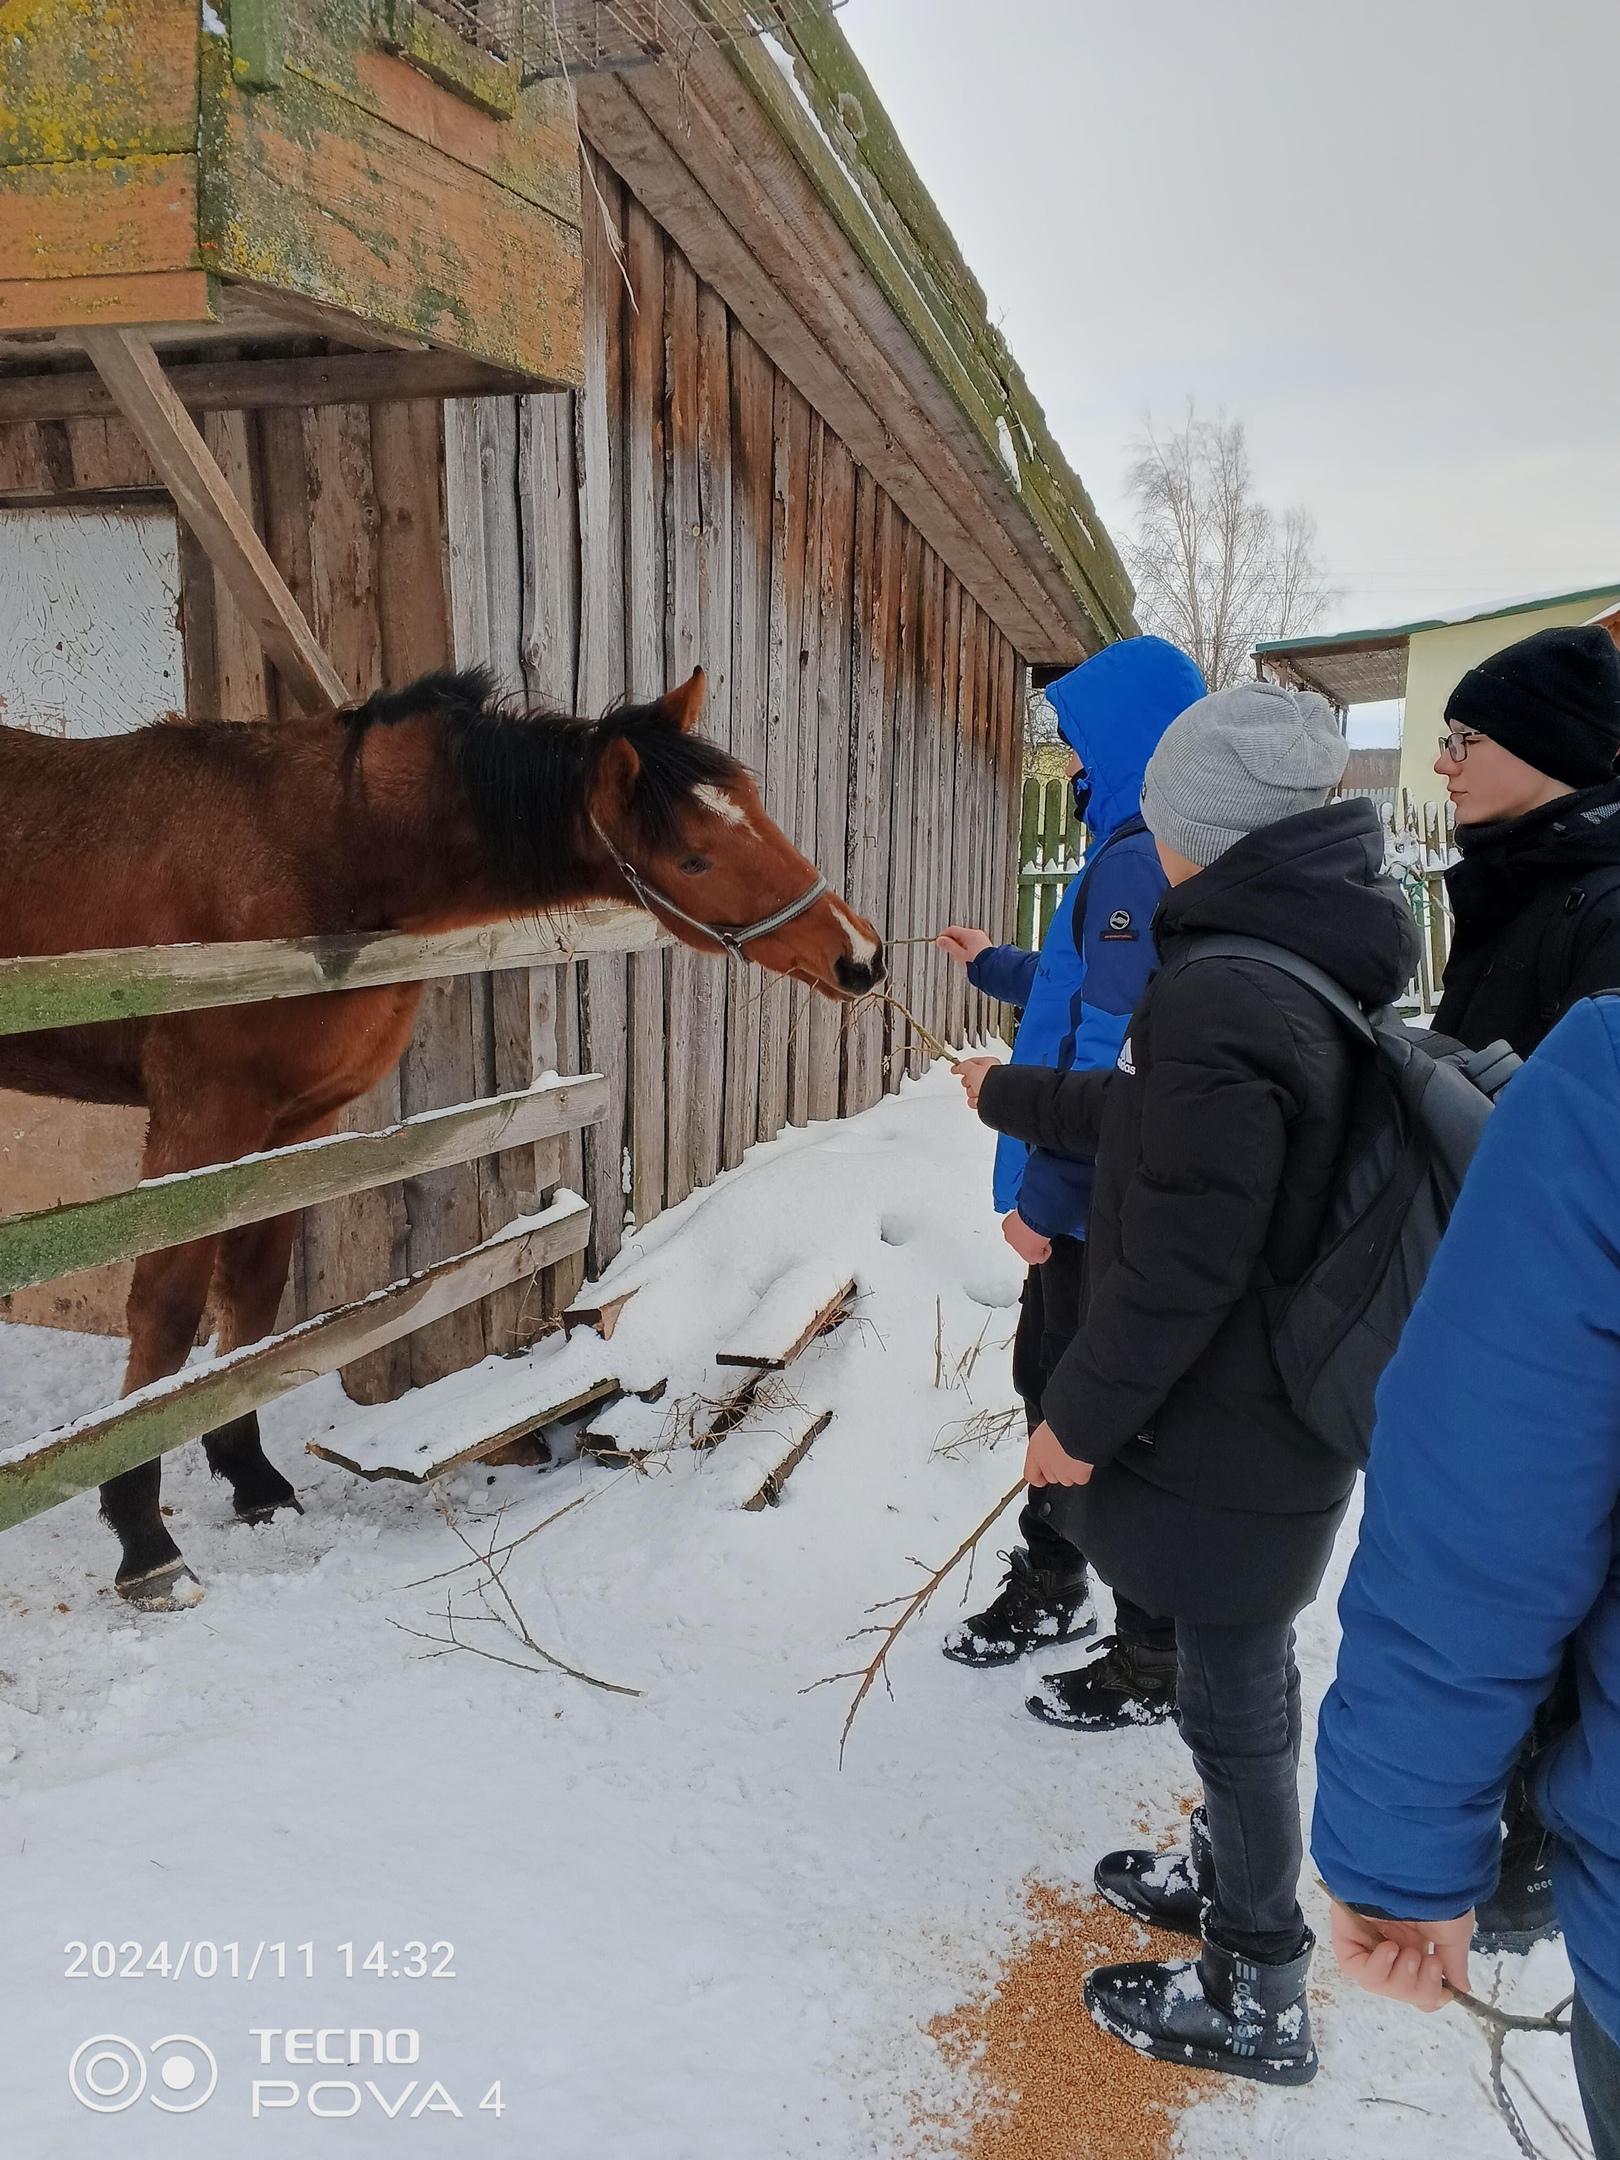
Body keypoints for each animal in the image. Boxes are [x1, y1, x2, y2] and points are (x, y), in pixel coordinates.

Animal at [0, 669, 881, 1607]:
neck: (304, 847)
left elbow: (253, 1296)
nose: (861, 957)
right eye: (693, 859)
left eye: (755, 808)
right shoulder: (202, 1120)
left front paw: (253, 1481)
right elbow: (165, 1312)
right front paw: (143, 1537)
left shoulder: (294, 1127)